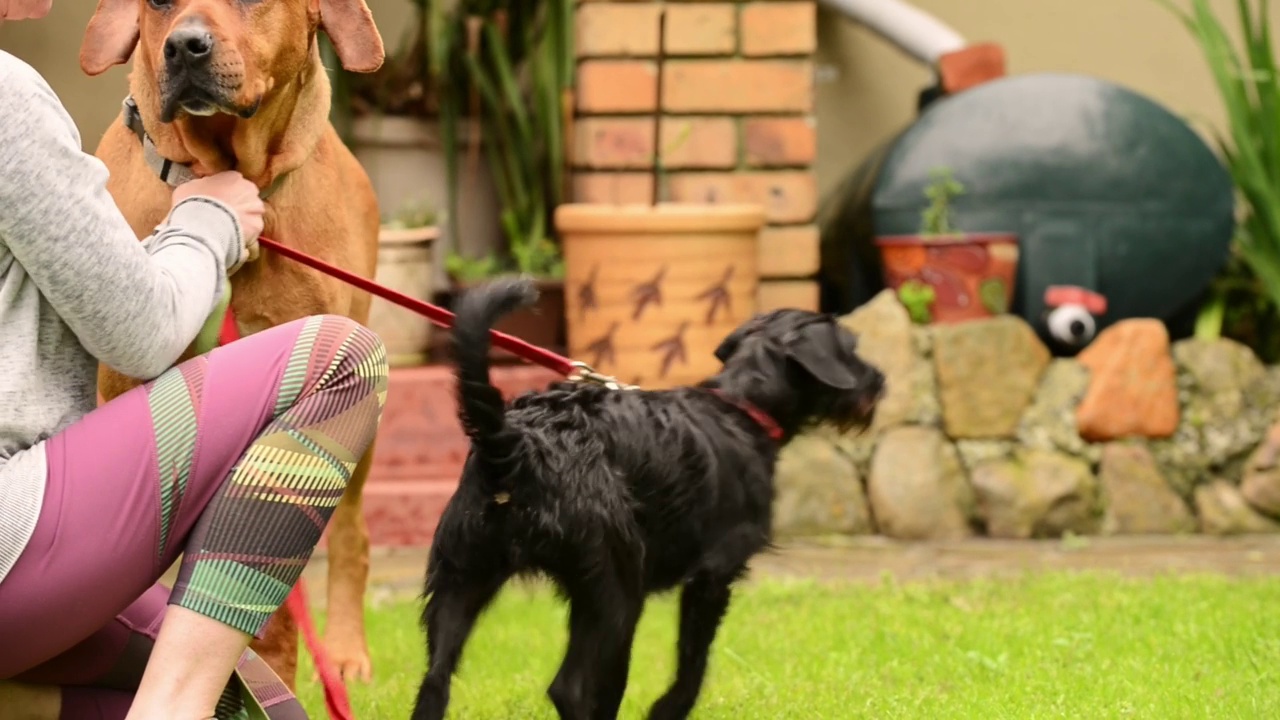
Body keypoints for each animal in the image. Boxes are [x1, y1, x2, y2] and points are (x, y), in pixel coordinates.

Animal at [414, 275, 885, 717]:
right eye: (850, 347)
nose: (879, 380)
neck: (739, 408)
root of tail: (516, 444)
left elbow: (617, 683)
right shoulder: (710, 578)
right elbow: (691, 667)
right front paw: (667, 710)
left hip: (463, 579)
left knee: (435, 682)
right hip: (613, 591)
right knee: (570, 688)